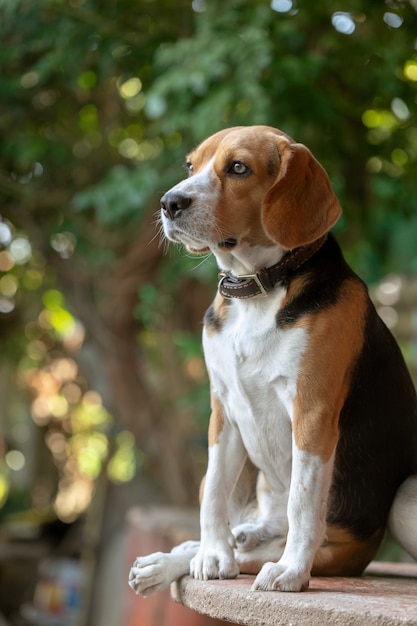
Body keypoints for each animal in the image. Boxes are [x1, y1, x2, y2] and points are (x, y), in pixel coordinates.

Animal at [129, 124, 416, 592]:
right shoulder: (223, 409)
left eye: (238, 168)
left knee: (271, 541)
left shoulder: (312, 412)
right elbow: (214, 492)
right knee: (245, 531)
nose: (169, 203)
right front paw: (212, 554)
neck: (256, 289)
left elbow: (303, 502)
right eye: (191, 166)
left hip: (376, 518)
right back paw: (187, 554)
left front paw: (291, 570)